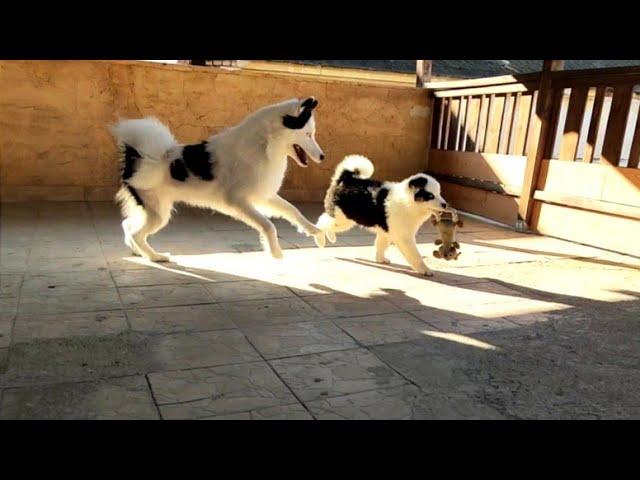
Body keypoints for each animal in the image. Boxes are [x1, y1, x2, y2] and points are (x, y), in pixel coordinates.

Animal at [109, 98, 324, 262]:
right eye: (308, 134)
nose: (323, 157)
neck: (264, 145)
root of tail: (139, 156)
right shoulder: (238, 201)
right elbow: (268, 225)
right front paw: (276, 252)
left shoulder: (263, 197)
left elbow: (293, 211)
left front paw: (315, 232)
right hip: (158, 212)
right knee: (136, 232)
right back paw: (155, 257)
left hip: (152, 210)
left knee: (128, 225)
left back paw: (139, 251)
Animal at [316, 156, 450, 276]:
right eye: (430, 196)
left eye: (439, 193)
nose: (445, 205)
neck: (409, 203)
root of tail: (347, 179)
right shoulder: (404, 237)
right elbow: (415, 255)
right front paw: (425, 270)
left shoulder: (386, 232)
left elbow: (381, 245)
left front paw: (380, 259)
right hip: (342, 218)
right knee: (322, 222)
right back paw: (321, 240)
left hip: (344, 218)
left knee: (327, 222)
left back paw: (330, 237)